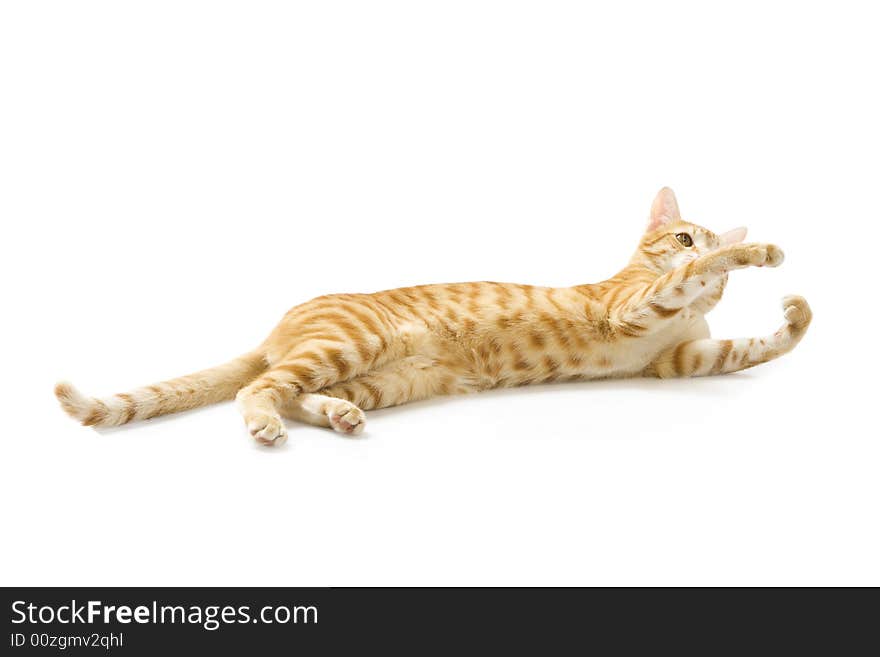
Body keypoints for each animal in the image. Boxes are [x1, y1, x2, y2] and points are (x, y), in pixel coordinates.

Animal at [55, 187, 812, 448]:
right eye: (684, 238)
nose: (698, 251)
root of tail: (281, 326)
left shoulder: (678, 360)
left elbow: (757, 346)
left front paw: (797, 314)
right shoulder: (632, 312)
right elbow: (690, 281)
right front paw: (758, 252)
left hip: (384, 379)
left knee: (296, 391)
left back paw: (337, 415)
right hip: (351, 345)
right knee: (258, 388)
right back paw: (266, 423)